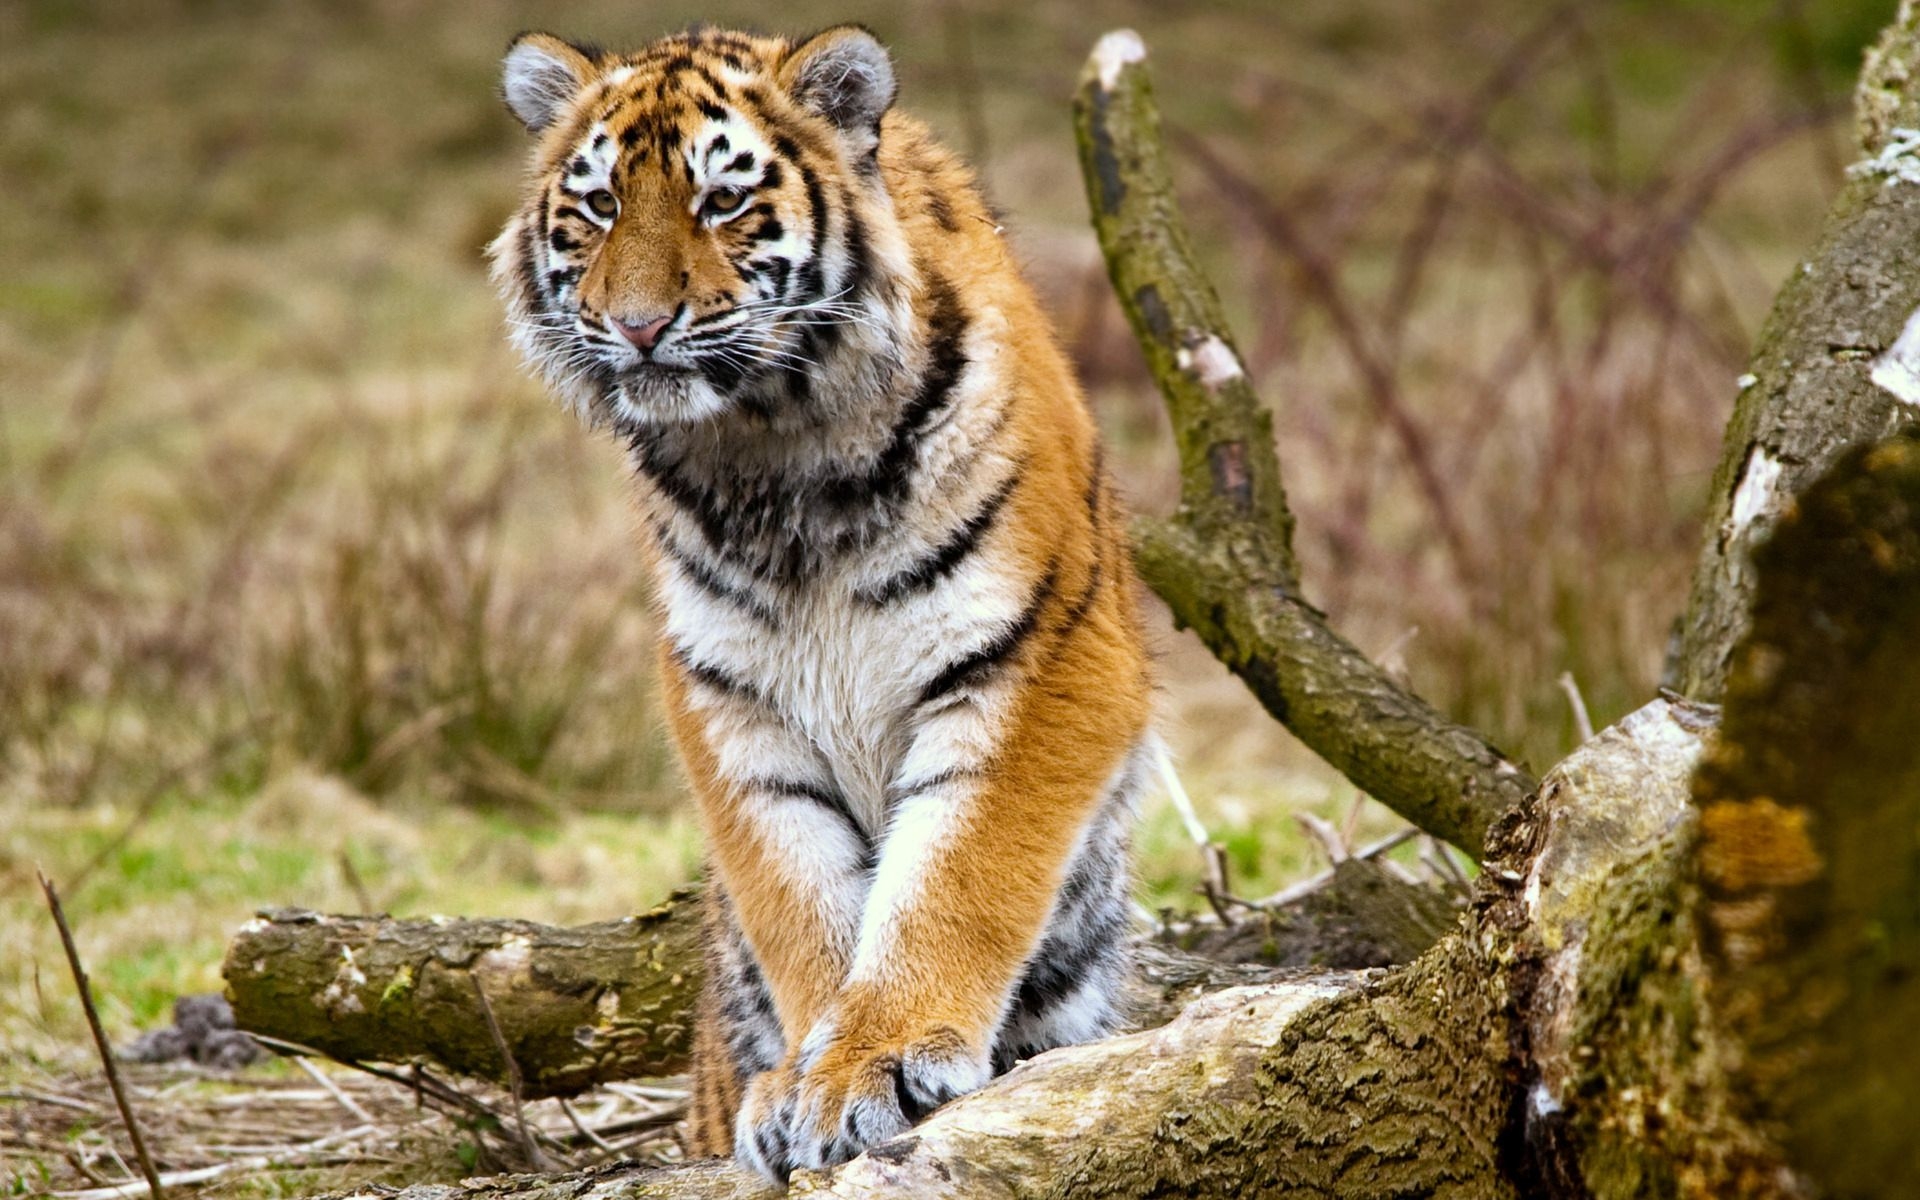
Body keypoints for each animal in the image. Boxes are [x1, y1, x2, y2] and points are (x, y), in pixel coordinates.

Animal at [489, 23, 1153, 1181]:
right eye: (602, 205)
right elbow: (799, 897)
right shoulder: (728, 697)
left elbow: (954, 875)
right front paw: (807, 1078)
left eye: (720, 202)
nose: (638, 326)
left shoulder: (1039, 654)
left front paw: (873, 1064)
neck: (773, 453)